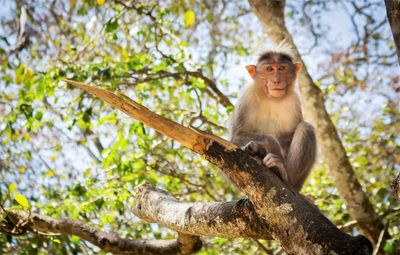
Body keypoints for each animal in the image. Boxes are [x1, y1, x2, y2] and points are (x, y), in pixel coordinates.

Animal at [230, 51, 318, 191]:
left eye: (282, 68)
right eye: (269, 69)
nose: (276, 81)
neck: (271, 98)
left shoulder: (294, 101)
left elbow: (289, 136)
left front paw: (277, 159)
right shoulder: (247, 97)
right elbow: (237, 137)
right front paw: (271, 145)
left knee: (306, 127)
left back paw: (285, 176)